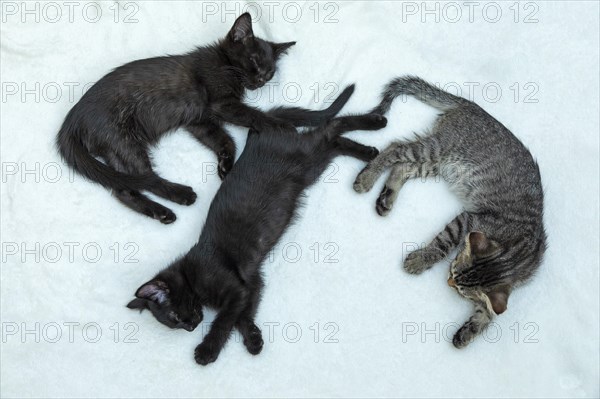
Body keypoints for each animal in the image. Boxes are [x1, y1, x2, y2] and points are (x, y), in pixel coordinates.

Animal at [57, 12, 346, 223]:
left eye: (271, 70)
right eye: (253, 60)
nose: (262, 80)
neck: (225, 63)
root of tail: (72, 120)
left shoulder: (198, 120)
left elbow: (223, 138)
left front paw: (226, 164)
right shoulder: (221, 104)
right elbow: (253, 115)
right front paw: (281, 125)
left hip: (117, 149)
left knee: (123, 189)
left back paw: (161, 212)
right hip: (123, 140)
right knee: (146, 180)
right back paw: (180, 195)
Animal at [128, 88, 386, 366]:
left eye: (174, 317)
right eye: (175, 324)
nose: (190, 327)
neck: (191, 274)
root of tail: (258, 130)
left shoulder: (234, 289)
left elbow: (224, 321)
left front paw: (207, 350)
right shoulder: (251, 283)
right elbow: (242, 315)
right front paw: (253, 339)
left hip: (306, 158)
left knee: (330, 128)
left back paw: (376, 123)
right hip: (311, 168)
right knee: (334, 139)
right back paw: (369, 152)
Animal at [354, 76, 548, 348]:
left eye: (461, 290)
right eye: (453, 270)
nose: (448, 282)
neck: (517, 251)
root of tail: (472, 107)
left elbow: (490, 312)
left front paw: (470, 331)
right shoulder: (469, 219)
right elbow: (443, 243)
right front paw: (421, 260)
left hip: (439, 165)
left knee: (403, 167)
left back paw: (387, 197)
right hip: (437, 149)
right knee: (395, 148)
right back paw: (367, 178)